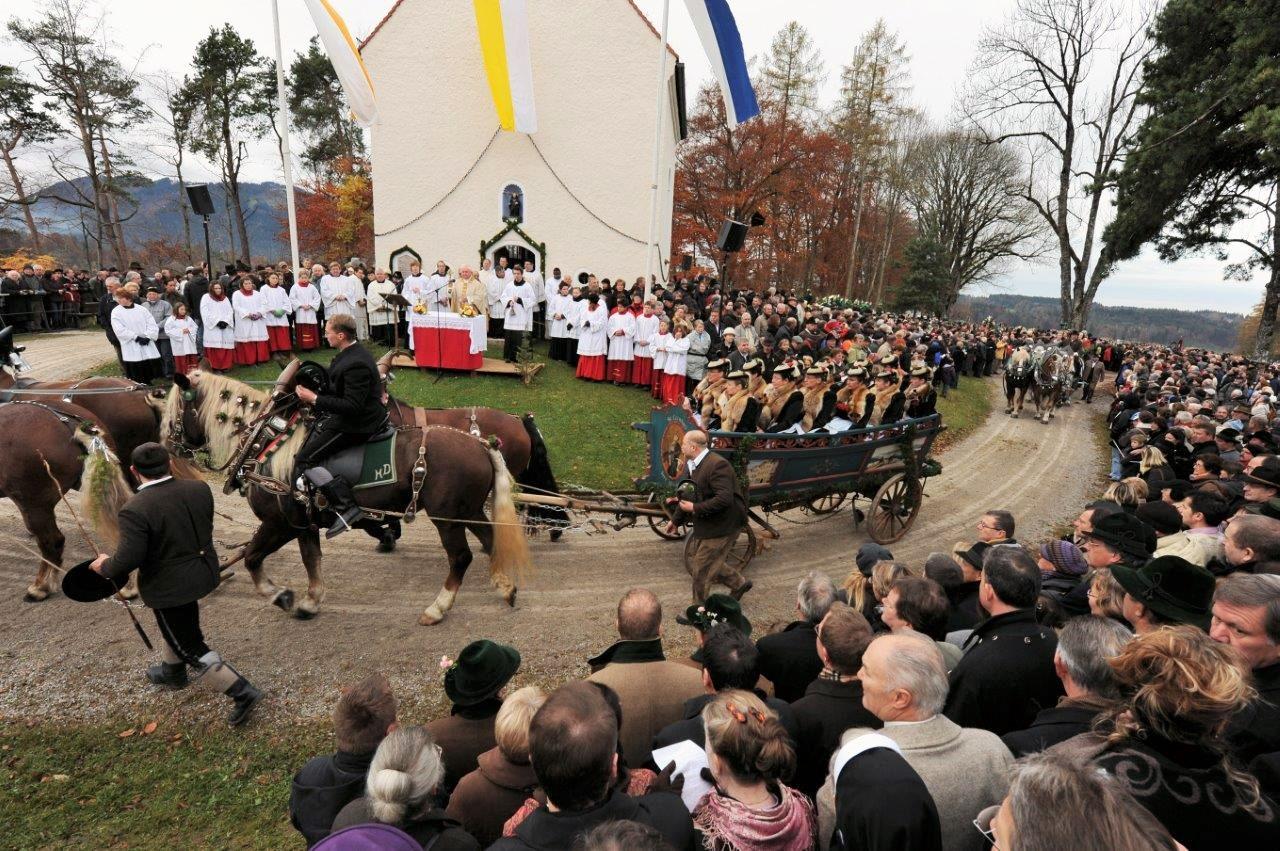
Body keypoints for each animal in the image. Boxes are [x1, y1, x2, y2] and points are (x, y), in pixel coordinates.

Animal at [162, 365, 527, 624]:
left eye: (171, 413)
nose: (167, 446)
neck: (267, 442)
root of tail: (481, 444)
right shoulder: (304, 524)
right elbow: (310, 559)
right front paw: (309, 600)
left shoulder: (281, 523)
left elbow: (253, 557)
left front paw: (281, 595)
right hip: (468, 511)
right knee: (491, 541)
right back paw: (505, 586)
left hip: (447, 517)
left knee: (461, 558)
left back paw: (438, 607)